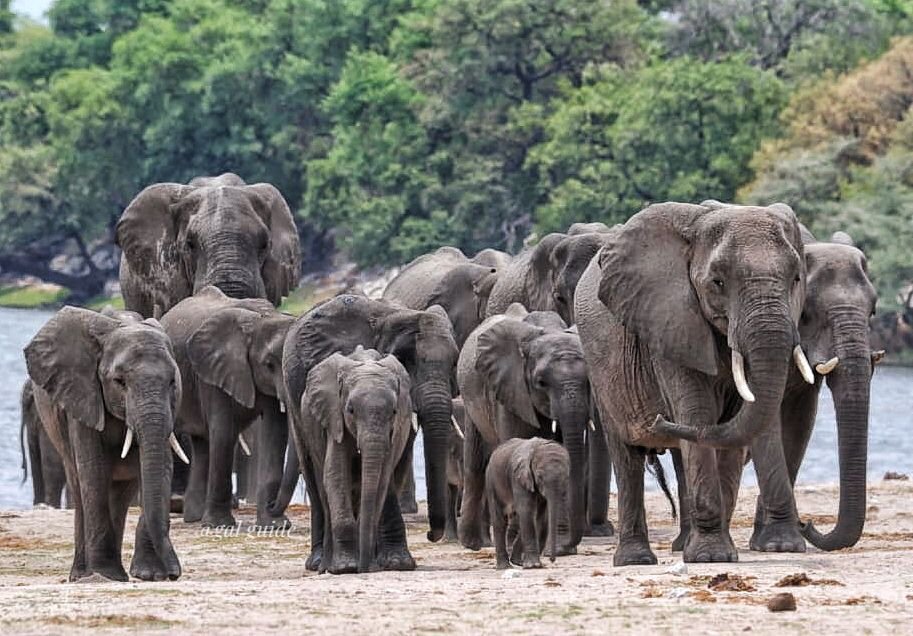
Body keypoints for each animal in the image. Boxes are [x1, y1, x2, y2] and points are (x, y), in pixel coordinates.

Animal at [160, 286, 295, 529]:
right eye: (269, 365)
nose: (273, 506)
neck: (260, 319)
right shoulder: (212, 371)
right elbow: (224, 432)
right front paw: (219, 525)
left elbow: (275, 433)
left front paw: (274, 525)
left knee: (202, 444)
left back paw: (195, 517)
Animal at [294, 346, 413, 573]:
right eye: (350, 410)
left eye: (394, 411)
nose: (365, 569)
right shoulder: (334, 418)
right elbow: (336, 474)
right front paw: (346, 568)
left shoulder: (394, 432)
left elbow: (382, 480)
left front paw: (365, 565)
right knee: (325, 492)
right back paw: (325, 566)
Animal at [457, 304, 593, 553]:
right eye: (541, 383)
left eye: (589, 381)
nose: (565, 547)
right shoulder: (510, 388)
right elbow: (517, 441)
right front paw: (516, 542)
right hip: (470, 397)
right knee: (475, 462)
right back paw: (472, 544)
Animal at [486, 437, 571, 569]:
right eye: (539, 476)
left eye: (566, 477)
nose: (552, 560)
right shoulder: (518, 477)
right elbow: (526, 510)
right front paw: (533, 565)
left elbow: (541, 516)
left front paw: (532, 564)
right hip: (491, 481)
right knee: (500, 520)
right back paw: (505, 567)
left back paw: (517, 562)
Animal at [575, 201, 812, 565]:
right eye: (717, 281)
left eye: (796, 278)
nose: (658, 419)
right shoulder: (670, 322)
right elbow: (697, 412)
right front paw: (711, 558)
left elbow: (732, 428)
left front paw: (720, 553)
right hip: (600, 369)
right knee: (627, 454)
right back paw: (636, 560)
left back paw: (681, 544)